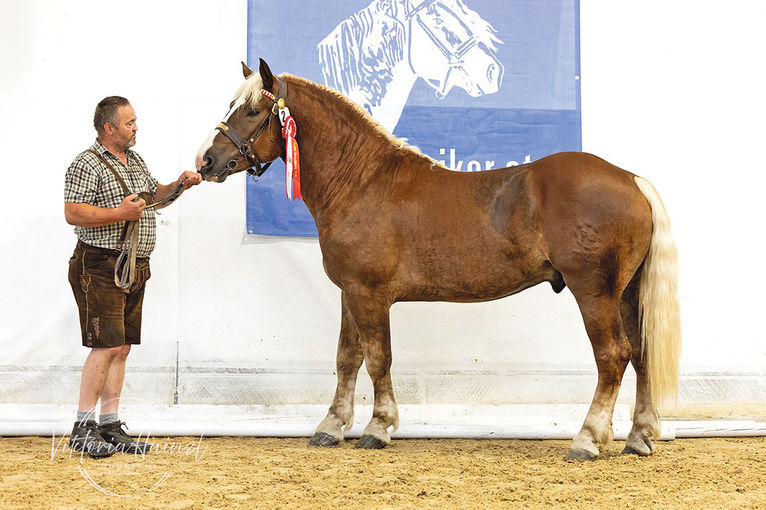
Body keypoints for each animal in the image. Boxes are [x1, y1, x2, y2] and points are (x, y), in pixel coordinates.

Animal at [198, 60, 684, 462]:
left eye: (252, 111)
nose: (206, 160)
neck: (362, 181)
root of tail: (631, 180)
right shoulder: (350, 292)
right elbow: (346, 357)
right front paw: (331, 426)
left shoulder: (370, 294)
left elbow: (378, 358)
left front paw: (378, 427)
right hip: (628, 292)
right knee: (640, 354)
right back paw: (639, 438)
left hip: (594, 292)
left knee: (613, 356)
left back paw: (587, 439)